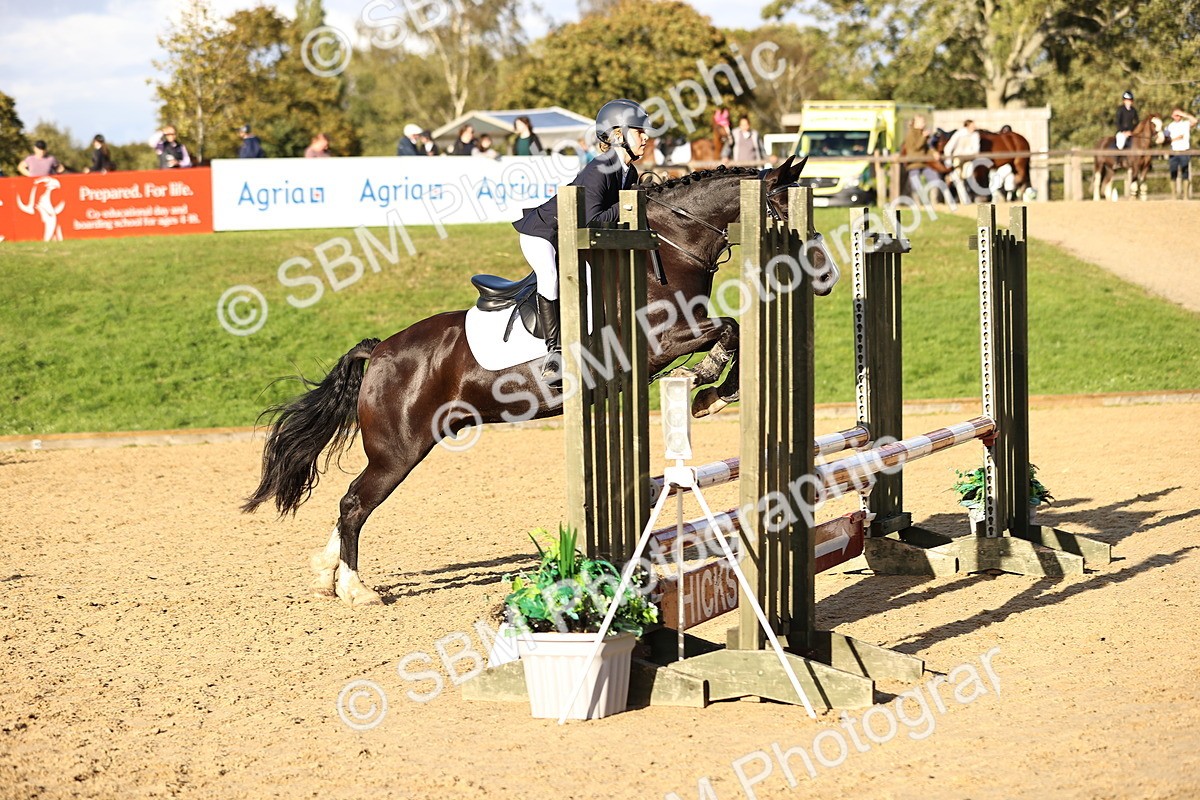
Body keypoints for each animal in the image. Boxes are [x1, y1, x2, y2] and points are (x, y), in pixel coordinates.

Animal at [242, 156, 836, 607]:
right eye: (783, 210)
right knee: (354, 504)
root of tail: (382, 349)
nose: (827, 275)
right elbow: (726, 330)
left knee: (350, 504)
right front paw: (708, 381)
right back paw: (355, 588)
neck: (667, 250)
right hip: (398, 451)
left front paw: (714, 394)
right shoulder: (661, 344)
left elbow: (732, 332)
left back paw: (325, 572)